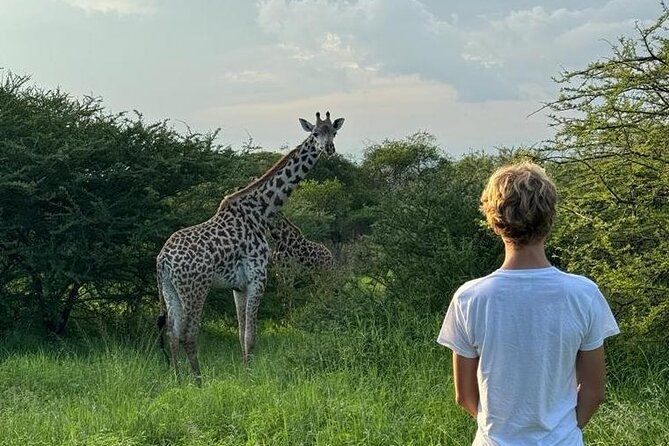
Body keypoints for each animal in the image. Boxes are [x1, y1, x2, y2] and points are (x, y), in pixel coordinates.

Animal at [156, 111, 344, 381]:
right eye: (315, 133)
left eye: (334, 132)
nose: (328, 148)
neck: (261, 212)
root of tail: (162, 260)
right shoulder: (258, 277)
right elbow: (251, 336)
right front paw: (251, 377)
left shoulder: (238, 286)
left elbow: (241, 334)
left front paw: (245, 372)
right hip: (195, 288)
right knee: (188, 335)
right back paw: (199, 382)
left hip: (170, 290)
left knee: (172, 333)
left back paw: (178, 380)